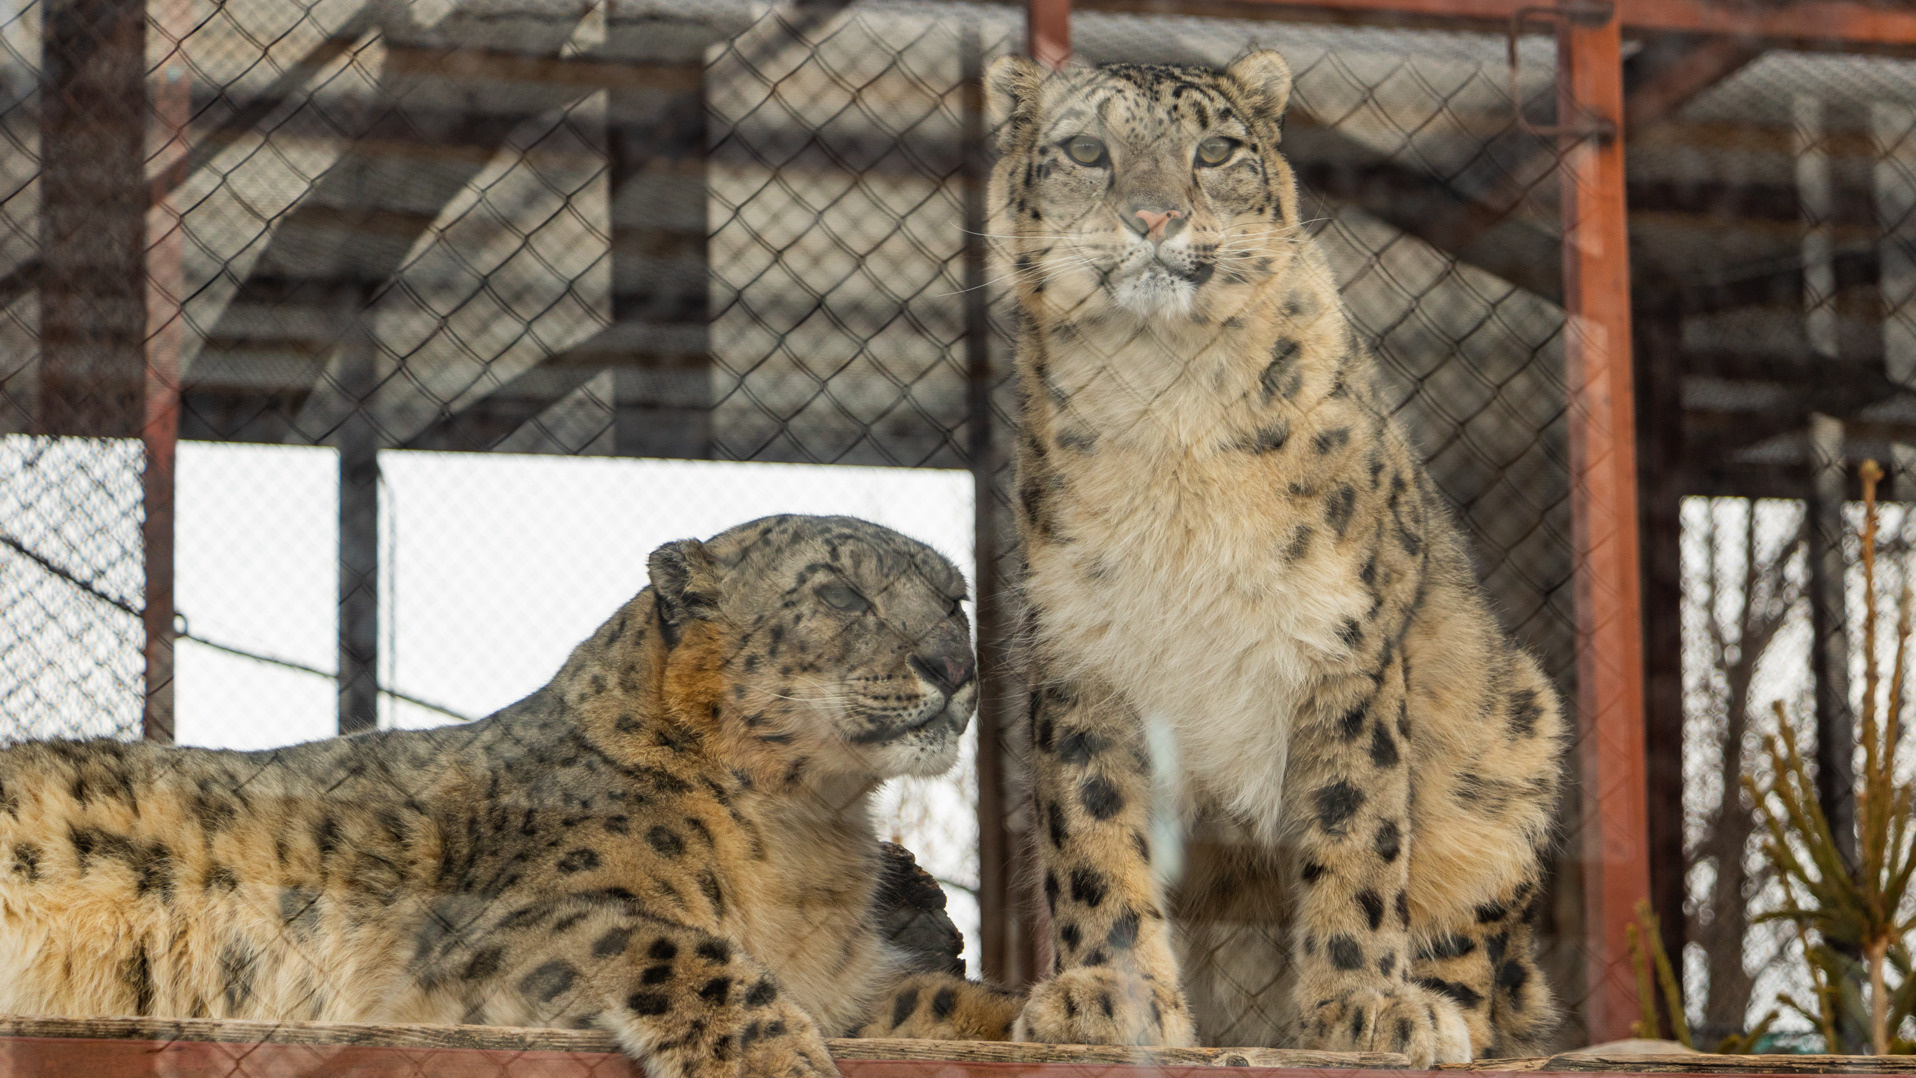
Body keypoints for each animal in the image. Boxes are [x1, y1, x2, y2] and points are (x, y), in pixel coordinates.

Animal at [0, 516, 1019, 1078]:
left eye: (957, 599)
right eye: (840, 592)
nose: (954, 663)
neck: (808, 842)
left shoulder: (846, 985)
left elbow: (935, 1007)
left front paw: (1049, 1008)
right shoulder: (521, 930)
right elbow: (685, 948)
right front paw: (779, 1062)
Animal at [988, 50, 1571, 1064]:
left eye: (1215, 149)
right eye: (1087, 150)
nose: (1154, 215)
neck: (1166, 405)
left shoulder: (1345, 640)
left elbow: (1356, 825)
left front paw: (1365, 1006)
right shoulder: (1082, 647)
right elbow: (1092, 831)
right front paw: (1108, 996)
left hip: (1517, 737)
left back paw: (1442, 1008)